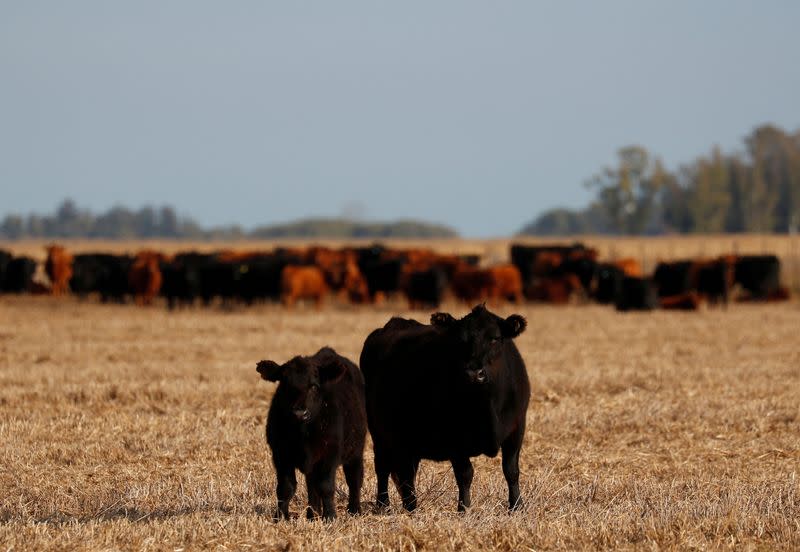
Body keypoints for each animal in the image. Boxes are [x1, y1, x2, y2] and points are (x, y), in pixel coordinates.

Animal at [258, 348, 368, 520]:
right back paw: (312, 515)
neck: (302, 432)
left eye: (314, 386)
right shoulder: (280, 454)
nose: (299, 413)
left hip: (356, 450)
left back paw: (354, 510)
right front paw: (280, 517)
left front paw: (330, 516)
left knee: (354, 478)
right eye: (284, 384)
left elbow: (326, 486)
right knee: (312, 485)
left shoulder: (330, 454)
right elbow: (285, 487)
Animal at [360, 304, 528, 512]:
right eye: (461, 340)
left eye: (495, 338)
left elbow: (511, 470)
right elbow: (465, 474)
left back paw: (410, 505)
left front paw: (517, 505)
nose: (474, 373)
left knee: (407, 472)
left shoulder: (517, 428)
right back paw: (385, 504)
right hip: (379, 431)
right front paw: (464, 508)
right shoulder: (455, 437)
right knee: (383, 466)